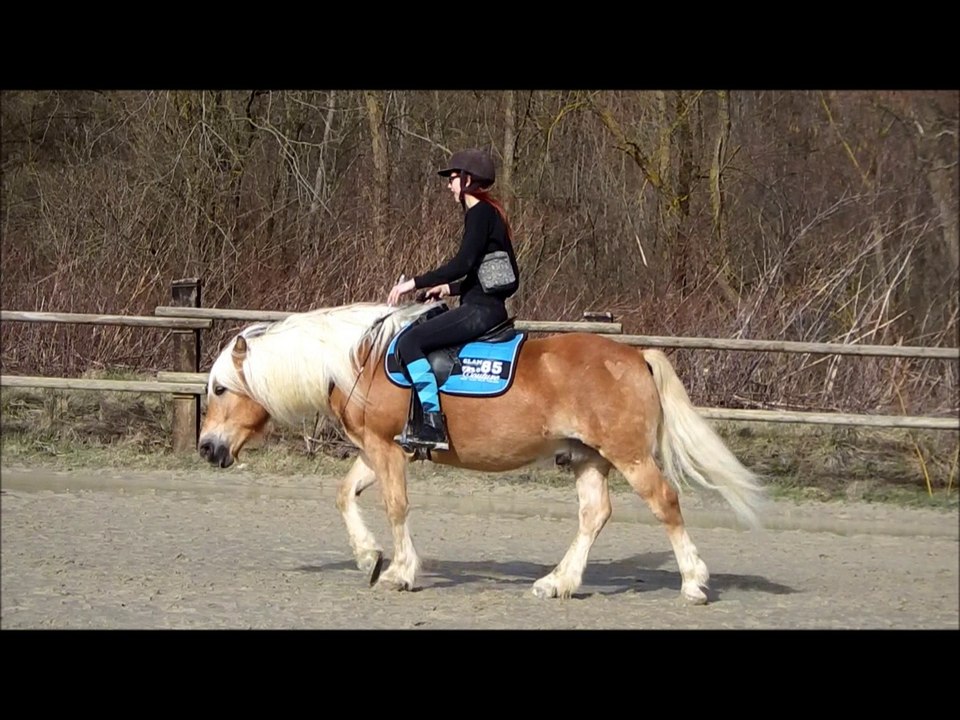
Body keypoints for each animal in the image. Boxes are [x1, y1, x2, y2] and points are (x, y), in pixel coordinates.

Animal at [198, 301, 764, 603]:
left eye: (221, 389)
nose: (206, 448)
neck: (359, 360)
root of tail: (634, 355)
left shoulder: (386, 449)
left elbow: (396, 507)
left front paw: (400, 571)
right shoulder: (379, 449)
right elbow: (344, 495)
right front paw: (368, 557)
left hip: (629, 456)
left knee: (665, 503)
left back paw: (693, 584)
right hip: (588, 457)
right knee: (594, 514)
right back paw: (557, 582)